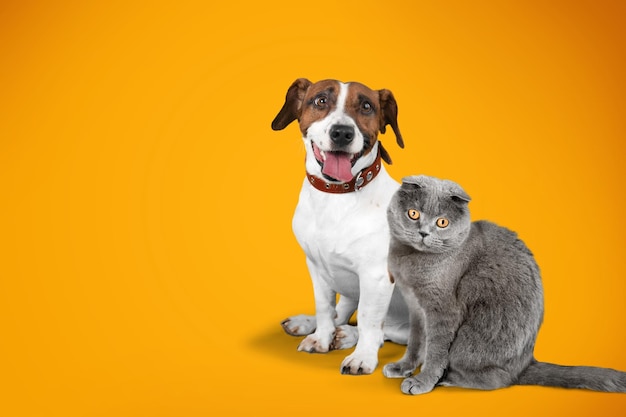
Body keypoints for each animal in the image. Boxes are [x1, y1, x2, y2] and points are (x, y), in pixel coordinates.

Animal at [270, 78, 408, 374]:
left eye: (366, 106)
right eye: (320, 100)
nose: (342, 133)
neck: (337, 196)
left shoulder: (376, 276)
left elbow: (368, 320)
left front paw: (363, 357)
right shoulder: (317, 266)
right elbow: (325, 308)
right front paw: (321, 337)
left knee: (392, 331)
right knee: (341, 312)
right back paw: (317, 326)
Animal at [380, 175, 624, 394]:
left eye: (442, 222)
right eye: (413, 213)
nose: (423, 232)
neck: (410, 260)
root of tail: (526, 363)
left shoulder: (443, 311)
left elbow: (435, 350)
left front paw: (422, 382)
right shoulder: (415, 307)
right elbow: (416, 341)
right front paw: (403, 367)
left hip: (469, 340)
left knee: (497, 379)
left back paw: (449, 379)